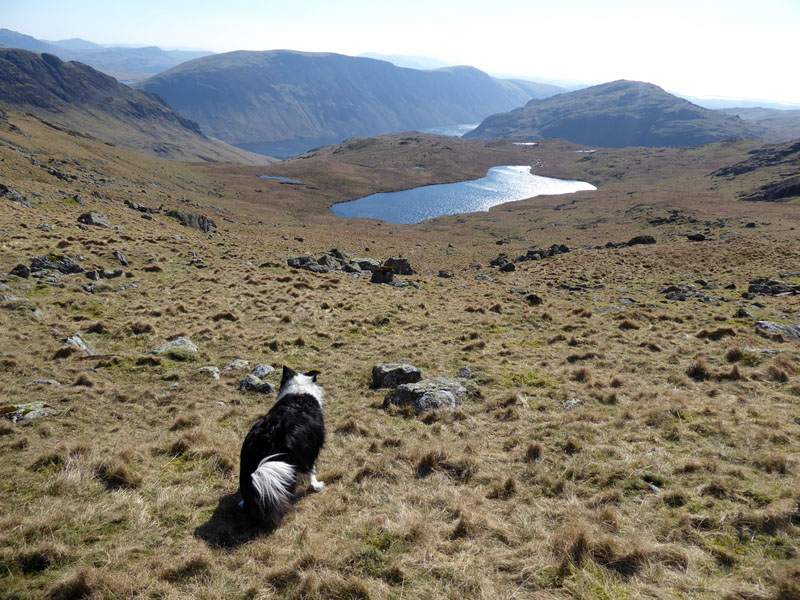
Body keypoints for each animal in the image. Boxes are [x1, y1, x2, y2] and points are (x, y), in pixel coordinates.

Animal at [238, 364, 324, 528]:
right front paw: (316, 485)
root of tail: (265, 438)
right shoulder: (309, 449)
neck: (299, 391)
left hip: (248, 464)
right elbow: (312, 470)